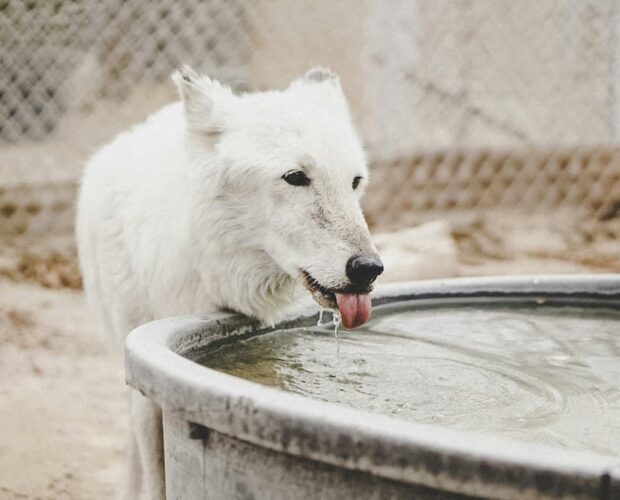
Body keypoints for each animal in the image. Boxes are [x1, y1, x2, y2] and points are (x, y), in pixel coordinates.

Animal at [76, 67, 382, 500]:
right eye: (295, 177)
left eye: (354, 181)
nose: (369, 268)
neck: (219, 281)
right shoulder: (146, 378)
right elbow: (155, 474)